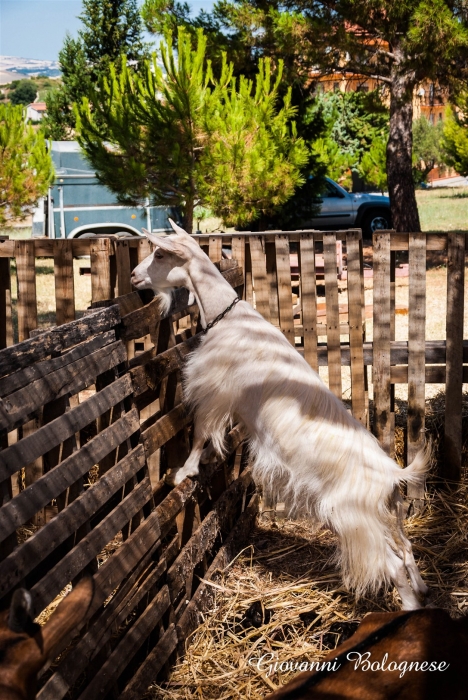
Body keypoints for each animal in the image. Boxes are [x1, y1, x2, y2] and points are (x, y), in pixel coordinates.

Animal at [132, 221, 432, 608]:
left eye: (159, 253)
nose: (135, 277)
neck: (231, 319)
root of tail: (393, 473)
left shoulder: (214, 389)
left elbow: (200, 432)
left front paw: (183, 472)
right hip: (389, 513)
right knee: (406, 548)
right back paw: (423, 589)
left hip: (354, 518)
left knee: (393, 563)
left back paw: (409, 608)